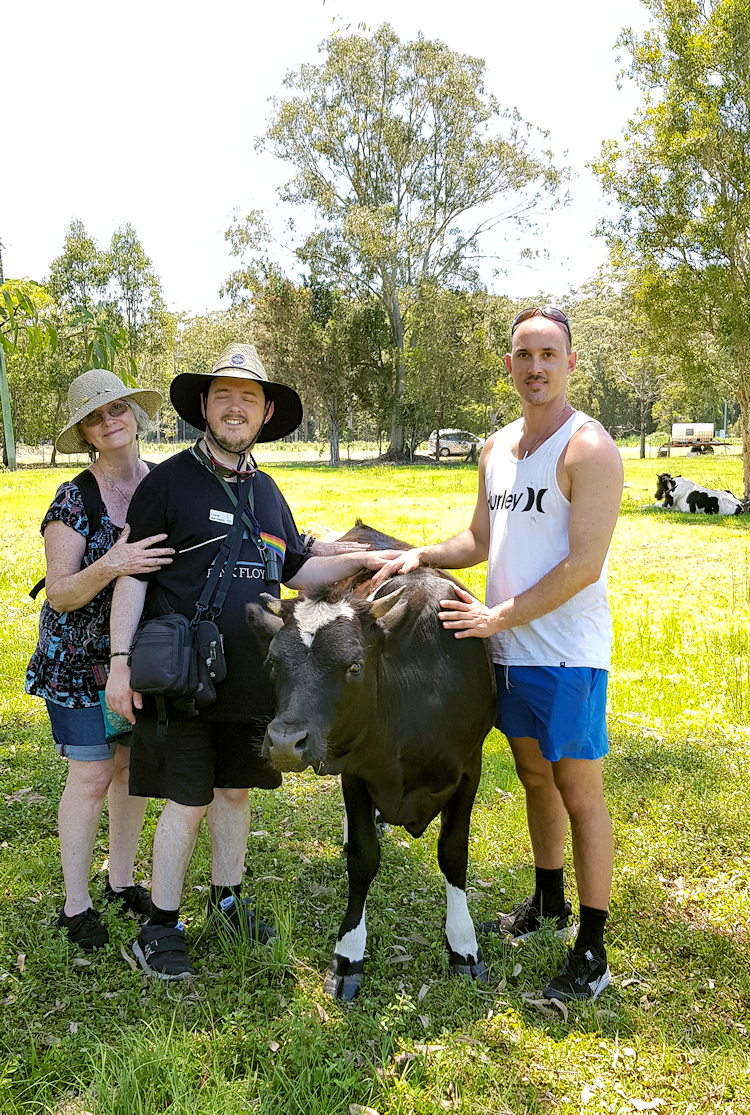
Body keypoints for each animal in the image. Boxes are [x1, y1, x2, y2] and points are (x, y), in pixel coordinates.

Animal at [246, 522, 496, 1001]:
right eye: (271, 661)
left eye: (354, 666)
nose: (285, 742)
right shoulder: (355, 770)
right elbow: (363, 859)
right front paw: (349, 954)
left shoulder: (469, 769)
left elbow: (453, 853)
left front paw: (463, 942)